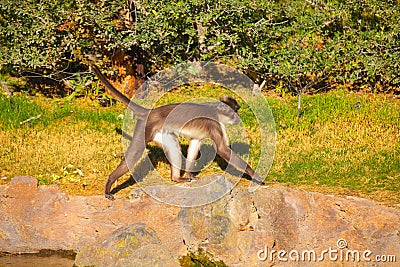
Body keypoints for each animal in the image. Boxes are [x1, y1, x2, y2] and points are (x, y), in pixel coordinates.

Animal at [92, 63, 264, 200]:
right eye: (235, 111)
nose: (238, 118)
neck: (215, 110)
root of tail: (151, 112)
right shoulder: (215, 123)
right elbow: (222, 149)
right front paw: (255, 175)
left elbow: (194, 146)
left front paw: (190, 174)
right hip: (145, 128)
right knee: (134, 154)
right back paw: (110, 181)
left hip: (161, 132)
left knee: (174, 147)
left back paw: (176, 178)